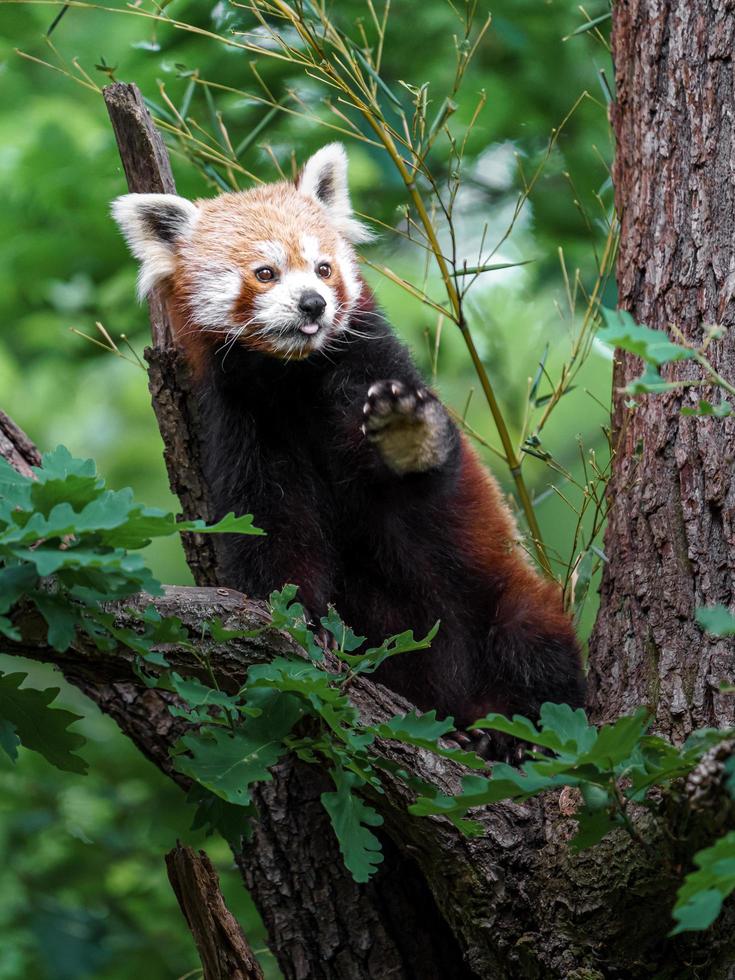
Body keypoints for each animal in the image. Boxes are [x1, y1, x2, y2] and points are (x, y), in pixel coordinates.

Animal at [113, 140, 588, 756]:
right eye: (265, 273)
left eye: (323, 267)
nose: (313, 304)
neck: (293, 379)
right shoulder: (245, 423)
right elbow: (271, 525)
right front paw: (300, 618)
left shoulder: (371, 365)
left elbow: (424, 479)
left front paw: (408, 434)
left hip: (501, 596)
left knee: (534, 642)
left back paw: (515, 734)